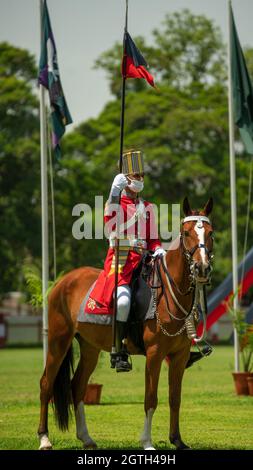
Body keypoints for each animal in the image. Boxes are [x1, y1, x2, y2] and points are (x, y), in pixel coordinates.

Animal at [37, 196, 213, 450]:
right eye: (187, 232)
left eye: (210, 232)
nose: (202, 268)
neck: (170, 294)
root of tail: (62, 282)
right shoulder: (155, 354)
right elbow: (151, 398)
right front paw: (147, 441)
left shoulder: (179, 356)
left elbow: (175, 398)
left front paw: (177, 440)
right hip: (58, 341)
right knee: (46, 384)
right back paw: (44, 438)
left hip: (89, 348)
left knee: (77, 386)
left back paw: (86, 438)